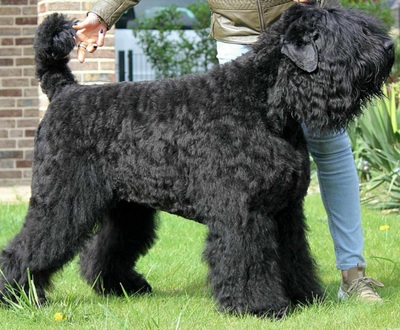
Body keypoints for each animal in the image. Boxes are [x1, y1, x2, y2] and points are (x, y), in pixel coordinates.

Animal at [0, 4, 394, 318]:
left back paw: (123, 287)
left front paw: (303, 297)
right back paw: (17, 296)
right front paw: (259, 306)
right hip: (62, 199)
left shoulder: (286, 210)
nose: (390, 47)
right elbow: (248, 259)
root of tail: (64, 90)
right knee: (30, 246)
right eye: (342, 33)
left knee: (106, 248)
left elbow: (293, 255)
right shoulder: (243, 211)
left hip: (127, 206)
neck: (262, 103)